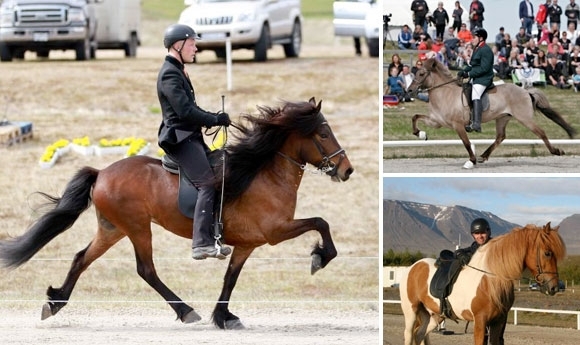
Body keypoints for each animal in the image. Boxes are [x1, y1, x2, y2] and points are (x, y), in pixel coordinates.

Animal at [0, 98, 354, 330]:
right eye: (323, 134)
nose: (347, 170)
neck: (262, 172)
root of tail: (101, 173)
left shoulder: (248, 243)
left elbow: (231, 278)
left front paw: (224, 317)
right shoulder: (275, 231)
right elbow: (321, 222)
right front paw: (320, 257)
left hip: (112, 228)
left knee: (81, 258)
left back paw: (55, 301)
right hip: (137, 227)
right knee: (146, 270)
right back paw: (185, 311)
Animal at [402, 223, 564, 344]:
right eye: (547, 253)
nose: (554, 287)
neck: (489, 279)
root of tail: (413, 267)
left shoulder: (498, 321)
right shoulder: (480, 321)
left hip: (434, 315)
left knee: (420, 334)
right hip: (411, 311)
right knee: (409, 335)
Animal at [406, 58, 576, 169]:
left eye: (422, 74)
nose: (409, 91)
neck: (444, 93)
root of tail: (525, 91)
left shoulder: (458, 125)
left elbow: (466, 143)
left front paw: (471, 161)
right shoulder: (436, 122)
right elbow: (415, 117)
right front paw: (421, 135)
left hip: (525, 119)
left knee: (541, 132)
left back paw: (556, 151)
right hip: (502, 118)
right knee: (501, 136)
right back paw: (483, 156)